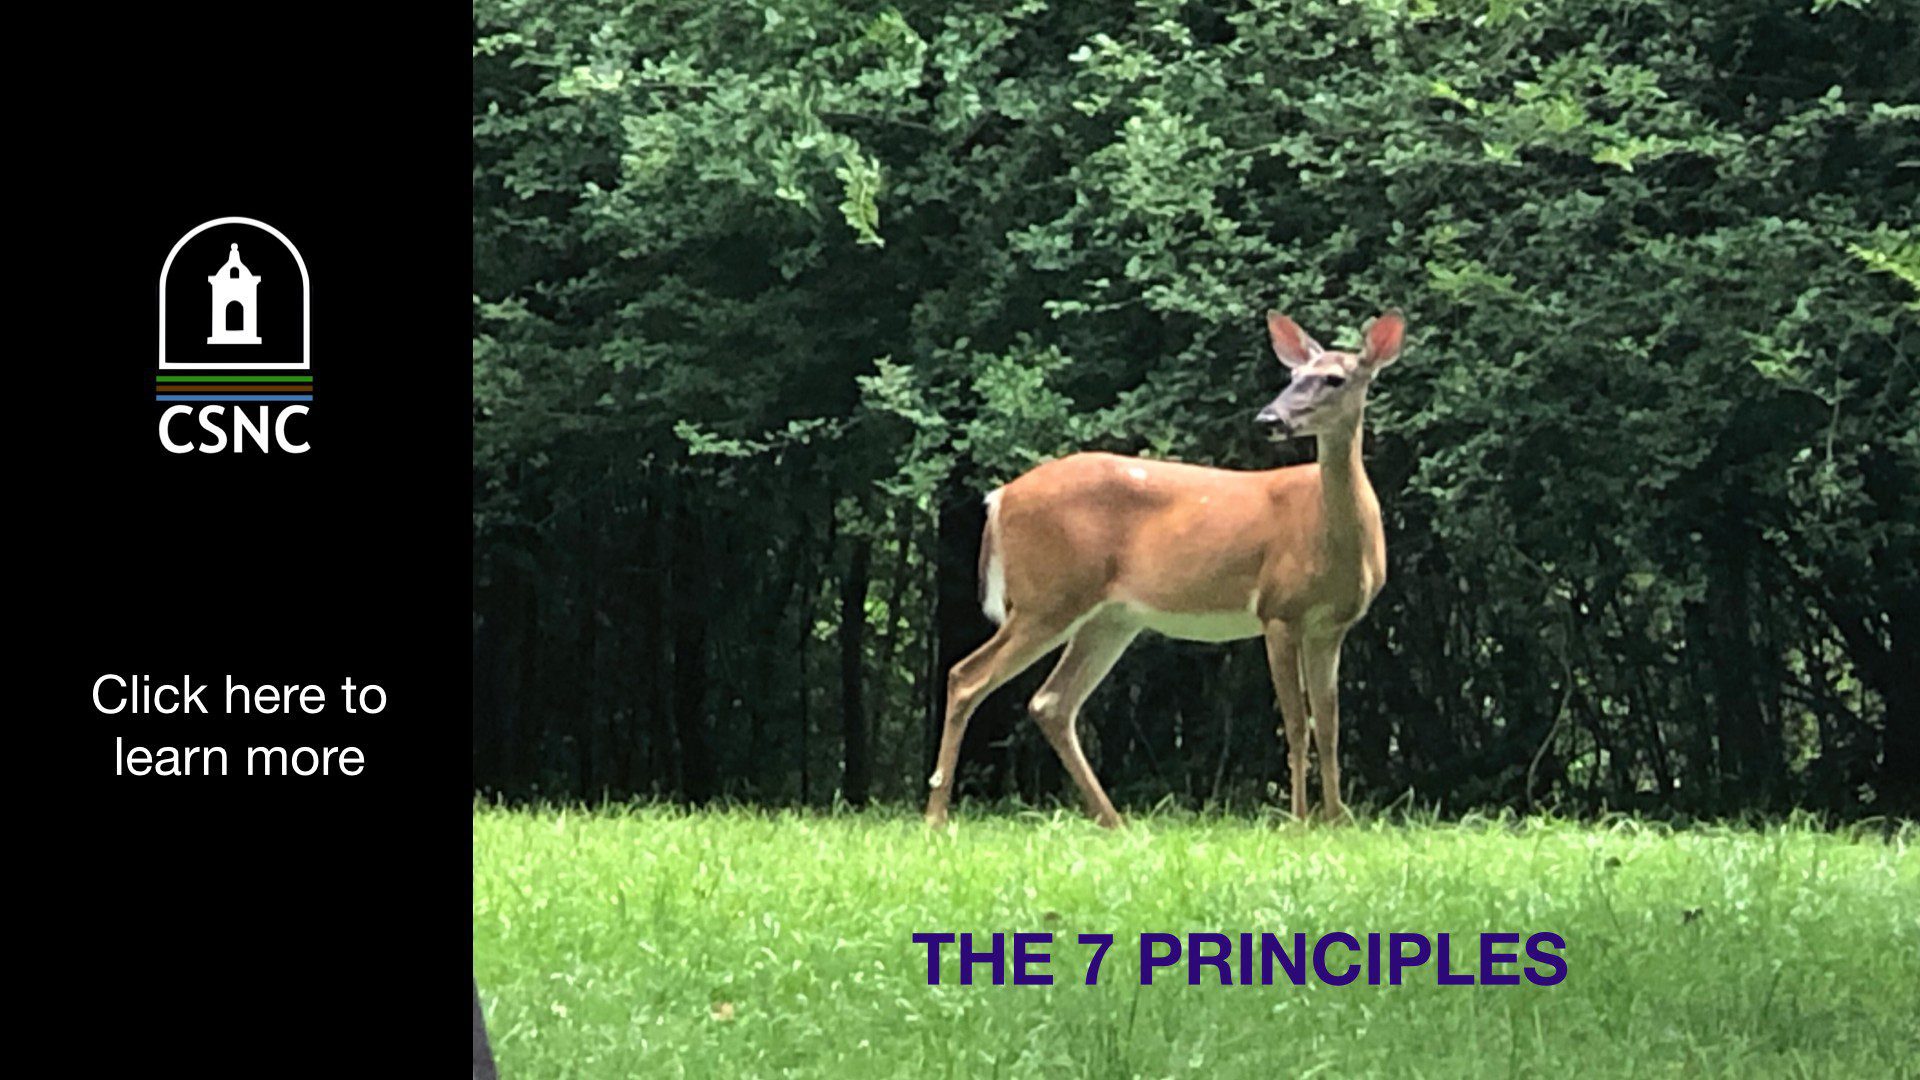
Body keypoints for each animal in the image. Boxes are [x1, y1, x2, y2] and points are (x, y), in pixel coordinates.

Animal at [921, 307, 1405, 826]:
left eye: (1334, 378)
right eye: (1292, 377)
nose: (1269, 419)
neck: (1330, 535)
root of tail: (1000, 496)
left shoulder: (1331, 625)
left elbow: (1330, 723)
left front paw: (1335, 820)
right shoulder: (1278, 609)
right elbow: (1296, 724)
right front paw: (1298, 822)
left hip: (1109, 618)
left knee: (1051, 701)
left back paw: (1114, 821)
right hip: (1048, 596)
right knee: (967, 677)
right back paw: (936, 816)